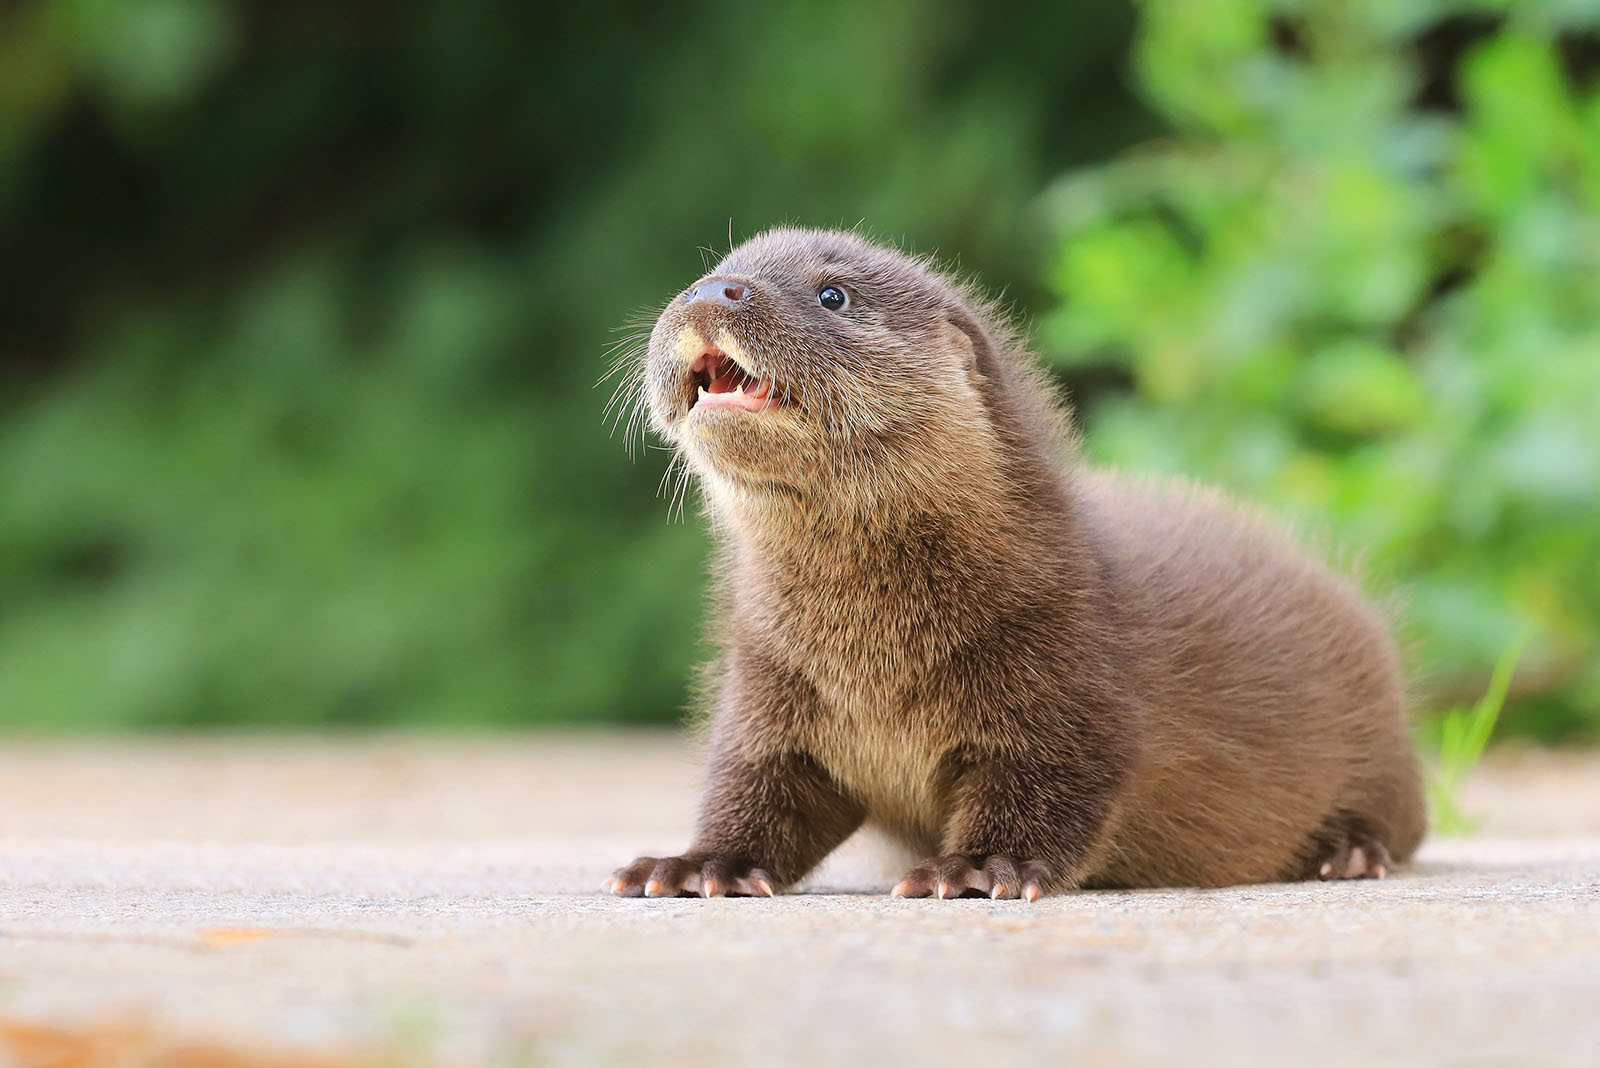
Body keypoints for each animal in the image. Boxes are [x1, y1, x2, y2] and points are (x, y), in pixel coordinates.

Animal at [601, 230, 1427, 895]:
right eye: (715, 267)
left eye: (833, 294)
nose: (714, 290)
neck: (871, 663)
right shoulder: (765, 688)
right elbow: (755, 795)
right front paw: (694, 864)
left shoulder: (1071, 686)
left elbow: (1047, 795)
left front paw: (976, 868)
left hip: (1384, 752)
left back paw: (1347, 852)